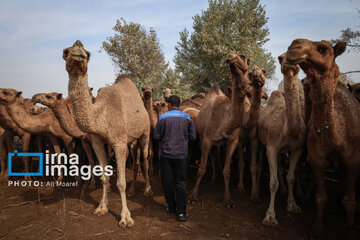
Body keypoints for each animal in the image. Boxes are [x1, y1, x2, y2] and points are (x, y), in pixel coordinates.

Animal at [62, 40, 152, 228]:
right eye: (65, 52)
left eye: (88, 54)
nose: (78, 48)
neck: (100, 115)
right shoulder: (97, 142)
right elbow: (104, 177)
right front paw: (102, 207)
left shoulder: (118, 142)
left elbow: (121, 182)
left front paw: (125, 218)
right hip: (130, 140)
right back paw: (133, 190)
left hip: (145, 133)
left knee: (145, 159)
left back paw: (148, 189)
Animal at [188, 50, 250, 206]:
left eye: (244, 57)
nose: (230, 55)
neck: (226, 123)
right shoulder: (207, 140)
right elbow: (201, 168)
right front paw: (193, 195)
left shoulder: (232, 142)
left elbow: (227, 171)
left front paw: (228, 199)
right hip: (200, 137)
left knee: (215, 156)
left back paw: (214, 178)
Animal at [258, 53, 306, 226]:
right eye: (279, 58)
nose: (289, 61)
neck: (289, 130)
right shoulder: (271, 147)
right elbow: (273, 183)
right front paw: (270, 216)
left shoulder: (298, 148)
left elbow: (291, 177)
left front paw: (293, 205)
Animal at [286, 39, 358, 238]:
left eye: (323, 48)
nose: (293, 46)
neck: (335, 136)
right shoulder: (316, 158)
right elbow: (320, 197)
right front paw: (317, 229)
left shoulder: (353, 159)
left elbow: (349, 200)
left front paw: (351, 231)